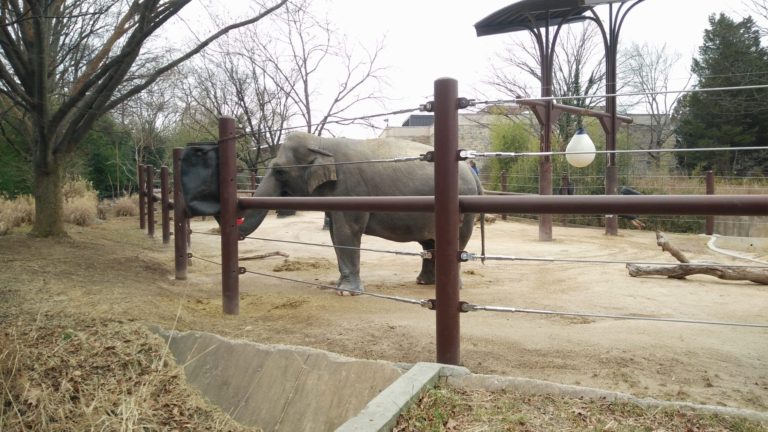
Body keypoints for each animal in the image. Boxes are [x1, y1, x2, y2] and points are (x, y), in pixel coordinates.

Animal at [240, 131, 480, 294]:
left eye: (280, 172)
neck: (321, 142)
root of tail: (471, 171)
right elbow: (335, 234)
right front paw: (339, 286)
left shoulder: (351, 188)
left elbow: (347, 231)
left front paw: (346, 292)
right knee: (429, 243)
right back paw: (424, 282)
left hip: (463, 210)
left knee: (454, 241)